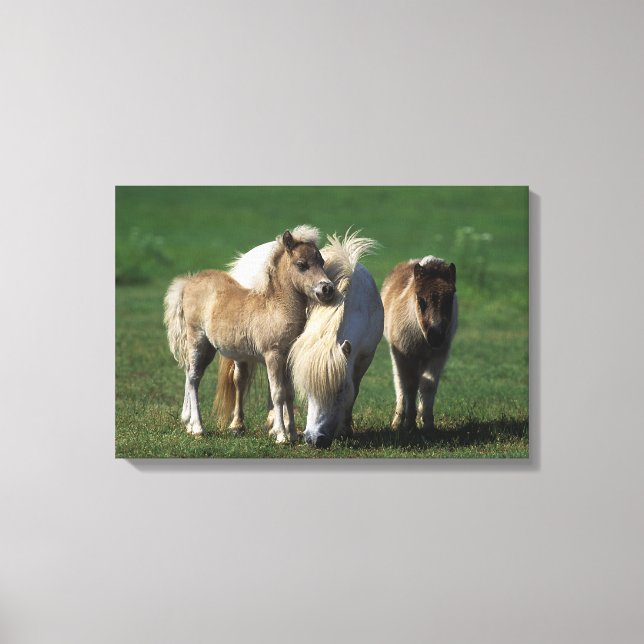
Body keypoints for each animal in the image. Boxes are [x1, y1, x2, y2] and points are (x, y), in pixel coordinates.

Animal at [163, 226, 334, 444]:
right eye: (302, 265)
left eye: (321, 262)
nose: (327, 288)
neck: (276, 308)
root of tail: (189, 281)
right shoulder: (273, 355)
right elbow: (277, 393)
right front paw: (281, 436)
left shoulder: (287, 358)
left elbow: (289, 394)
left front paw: (294, 435)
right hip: (197, 340)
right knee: (193, 378)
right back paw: (198, 428)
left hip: (209, 348)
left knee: (191, 374)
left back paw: (189, 424)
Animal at [226, 230, 384, 447]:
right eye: (308, 390)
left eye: (339, 391)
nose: (315, 439)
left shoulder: (365, 357)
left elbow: (355, 390)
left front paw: (345, 428)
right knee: (240, 380)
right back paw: (237, 425)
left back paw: (273, 423)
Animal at [381, 256, 458, 432]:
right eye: (421, 300)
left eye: (449, 299)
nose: (436, 336)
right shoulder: (405, 355)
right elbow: (409, 385)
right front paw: (409, 423)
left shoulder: (438, 355)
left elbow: (428, 385)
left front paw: (428, 424)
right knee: (400, 383)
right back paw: (397, 421)